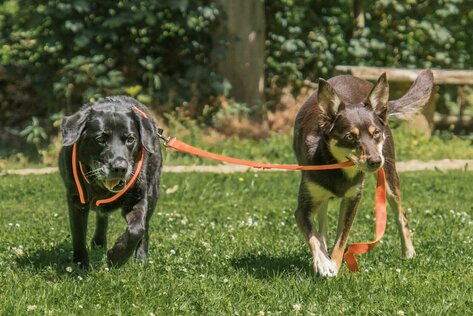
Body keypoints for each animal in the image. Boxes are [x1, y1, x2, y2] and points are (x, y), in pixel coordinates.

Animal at [58, 96, 162, 270]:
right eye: (100, 139)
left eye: (130, 139)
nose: (120, 167)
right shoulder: (76, 201)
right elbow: (78, 235)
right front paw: (80, 265)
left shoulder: (138, 198)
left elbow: (137, 229)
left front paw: (116, 257)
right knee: (102, 217)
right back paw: (98, 242)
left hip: (153, 191)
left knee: (145, 227)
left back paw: (141, 258)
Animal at [294, 69, 434, 276]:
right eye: (350, 137)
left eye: (375, 133)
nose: (375, 161)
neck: (337, 167)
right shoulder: (303, 209)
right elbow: (314, 236)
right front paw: (323, 263)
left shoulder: (353, 200)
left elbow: (341, 240)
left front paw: (334, 265)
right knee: (322, 224)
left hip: (389, 179)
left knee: (401, 215)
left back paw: (408, 252)